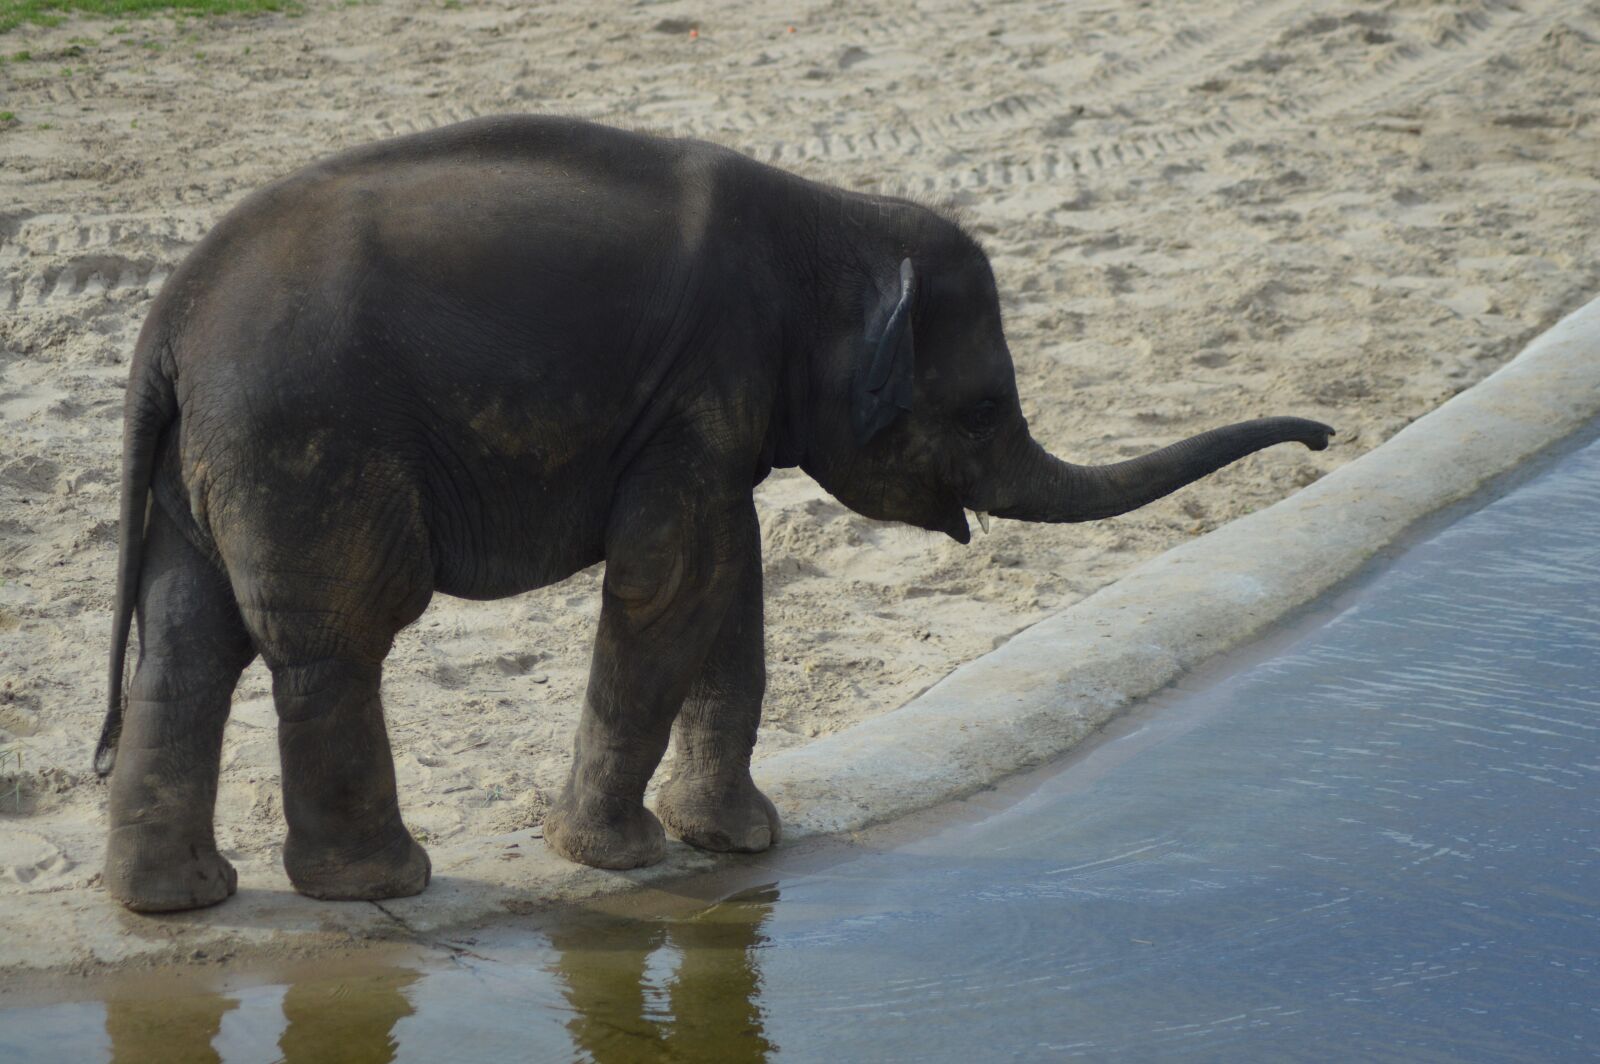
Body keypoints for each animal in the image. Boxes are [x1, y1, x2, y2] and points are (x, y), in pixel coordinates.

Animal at [93, 115, 1333, 912]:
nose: (1323, 441)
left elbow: (729, 585)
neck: (828, 218)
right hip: (308, 442)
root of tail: (167, 326)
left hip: (209, 467)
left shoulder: (706, 417)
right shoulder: (695, 392)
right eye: (983, 408)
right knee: (335, 639)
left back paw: (179, 900)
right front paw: (623, 856)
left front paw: (735, 840)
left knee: (188, 643)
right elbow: (671, 582)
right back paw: (378, 883)